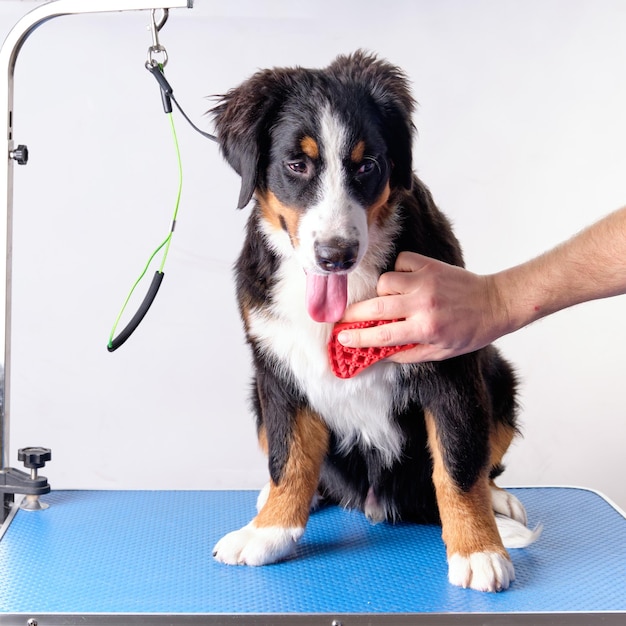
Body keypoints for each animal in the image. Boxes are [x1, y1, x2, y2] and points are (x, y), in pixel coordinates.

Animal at [211, 50, 536, 588]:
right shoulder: (276, 369)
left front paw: (477, 549)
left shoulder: (449, 365)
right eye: (296, 164)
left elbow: (457, 464)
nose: (335, 255)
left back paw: (498, 504)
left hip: (497, 374)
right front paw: (270, 531)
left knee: (481, 463)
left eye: (367, 165)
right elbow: (289, 457)